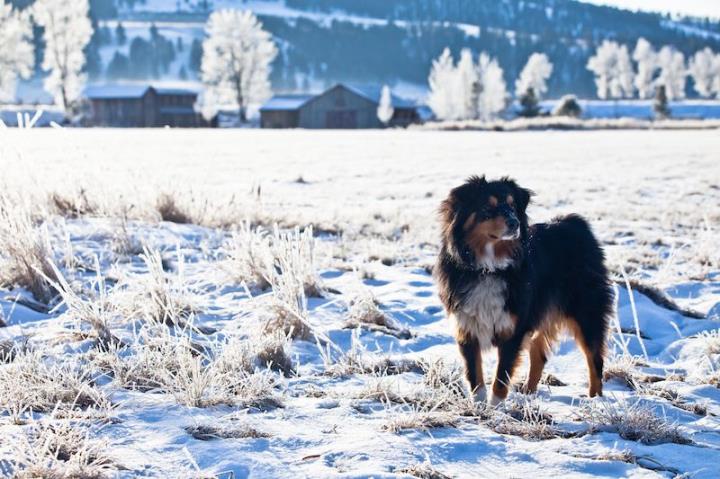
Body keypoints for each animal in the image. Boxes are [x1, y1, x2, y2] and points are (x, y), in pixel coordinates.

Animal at [434, 176, 612, 404]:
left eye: (512, 206)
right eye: (487, 207)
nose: (514, 223)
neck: (488, 268)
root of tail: (573, 222)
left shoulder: (514, 328)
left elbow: (501, 378)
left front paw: (496, 406)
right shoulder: (466, 325)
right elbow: (475, 376)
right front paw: (479, 407)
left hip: (586, 310)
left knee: (594, 359)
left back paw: (596, 400)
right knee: (539, 356)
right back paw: (529, 393)